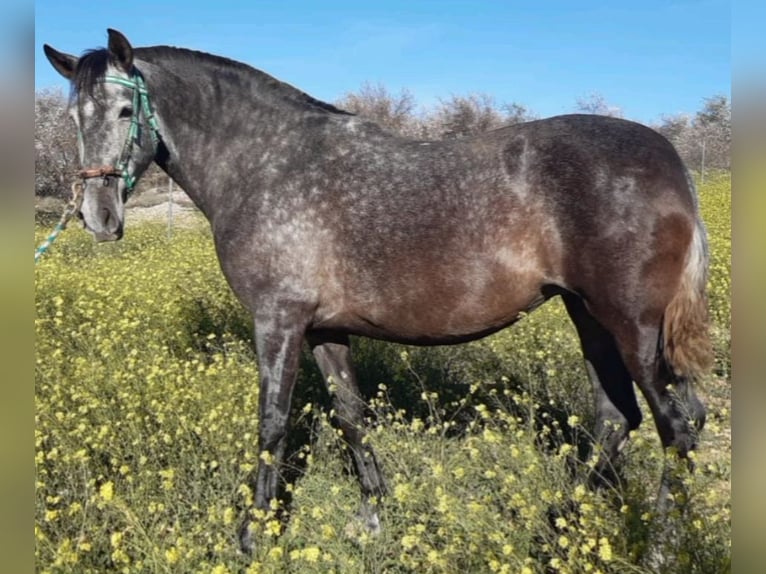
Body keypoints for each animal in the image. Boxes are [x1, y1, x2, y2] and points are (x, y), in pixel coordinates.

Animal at [43, 28, 712, 560]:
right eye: (74, 119)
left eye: (126, 110)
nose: (99, 216)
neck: (265, 164)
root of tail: (671, 162)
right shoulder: (324, 328)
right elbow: (351, 415)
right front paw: (373, 517)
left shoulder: (278, 322)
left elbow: (272, 424)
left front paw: (253, 537)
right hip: (590, 317)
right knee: (617, 417)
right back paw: (556, 528)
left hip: (630, 324)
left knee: (676, 426)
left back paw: (656, 548)